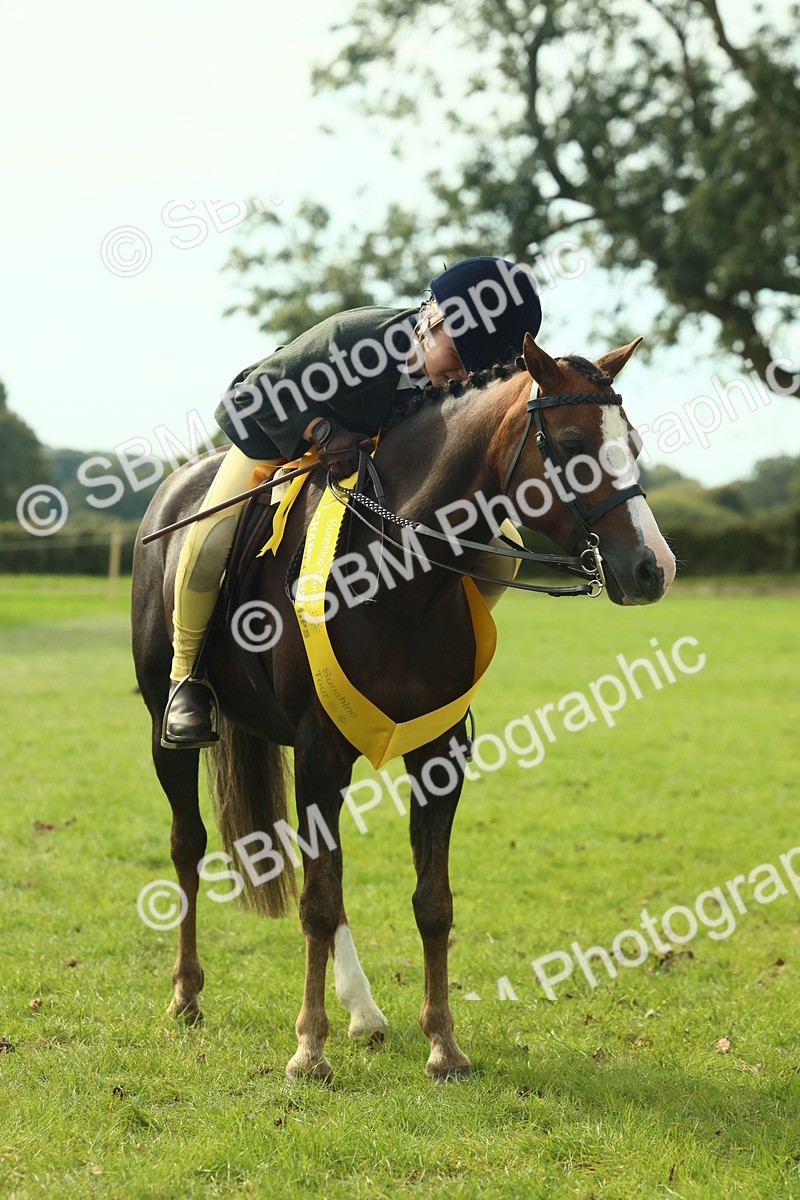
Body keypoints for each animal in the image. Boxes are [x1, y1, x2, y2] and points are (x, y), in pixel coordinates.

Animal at [131, 333, 676, 1081]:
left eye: (634, 442)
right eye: (569, 444)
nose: (655, 568)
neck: (401, 575)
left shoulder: (438, 754)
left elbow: (429, 902)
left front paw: (443, 1043)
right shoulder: (321, 752)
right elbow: (316, 903)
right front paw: (308, 1049)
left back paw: (363, 1012)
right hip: (169, 730)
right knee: (189, 844)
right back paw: (187, 994)